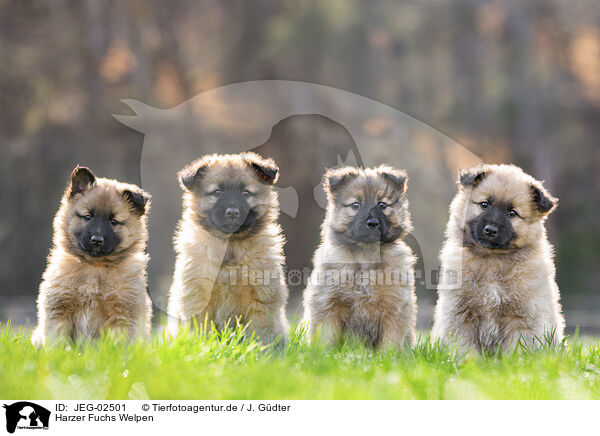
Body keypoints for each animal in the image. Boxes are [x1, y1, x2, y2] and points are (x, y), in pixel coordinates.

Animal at [30, 165, 154, 346]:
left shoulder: (123, 315)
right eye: (88, 217)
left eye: (113, 221)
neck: (95, 267)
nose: (96, 240)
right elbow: (57, 343)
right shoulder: (59, 310)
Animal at [168, 153, 290, 344]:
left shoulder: (261, 299)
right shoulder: (198, 297)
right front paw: (206, 347)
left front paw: (259, 350)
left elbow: (259, 333)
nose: (232, 212)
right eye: (217, 192)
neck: (231, 245)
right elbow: (203, 332)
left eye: (245, 193)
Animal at [302, 165, 414, 350]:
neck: (366, 256)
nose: (373, 223)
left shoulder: (393, 305)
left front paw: (388, 356)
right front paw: (322, 354)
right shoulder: (329, 303)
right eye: (356, 204)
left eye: (382, 204)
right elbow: (326, 338)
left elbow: (390, 341)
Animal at [434, 164, 564, 354]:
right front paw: (469, 361)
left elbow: (518, 349)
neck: (492, 259)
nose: (490, 230)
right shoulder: (460, 314)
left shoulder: (523, 316)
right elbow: (465, 348)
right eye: (484, 204)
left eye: (512, 213)